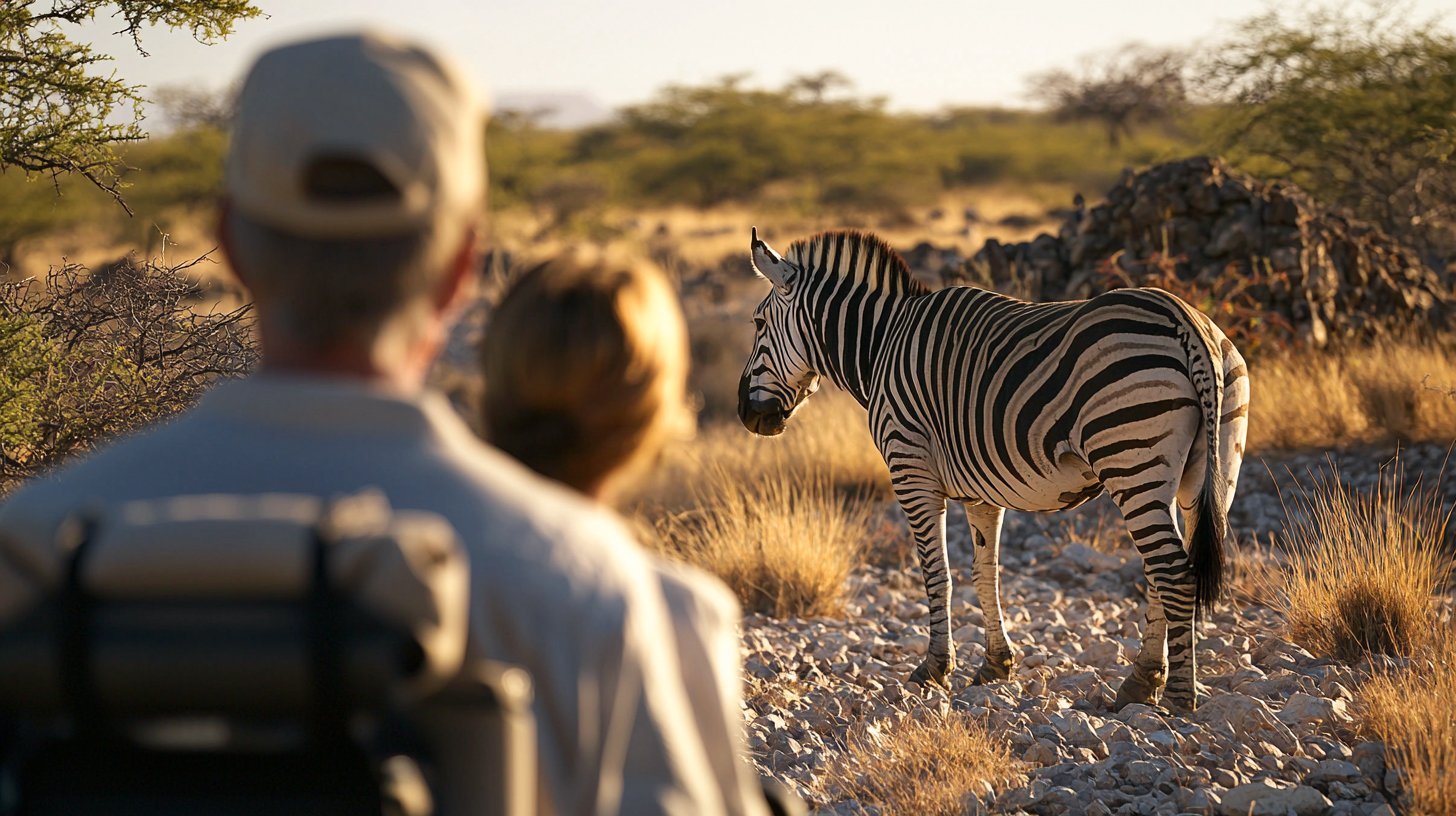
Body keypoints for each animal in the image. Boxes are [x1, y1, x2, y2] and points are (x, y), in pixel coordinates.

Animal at [737, 228, 1249, 712]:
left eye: (758, 323)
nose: (746, 415)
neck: (881, 344)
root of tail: (1184, 319)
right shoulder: (980, 490)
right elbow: (987, 573)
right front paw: (996, 665)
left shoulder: (911, 469)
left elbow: (936, 573)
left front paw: (935, 669)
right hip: (1206, 472)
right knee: (1163, 568)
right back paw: (1141, 683)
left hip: (1130, 457)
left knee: (1172, 572)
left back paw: (1178, 696)